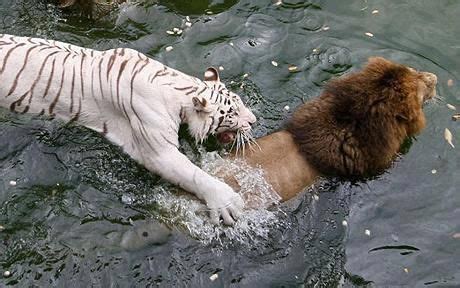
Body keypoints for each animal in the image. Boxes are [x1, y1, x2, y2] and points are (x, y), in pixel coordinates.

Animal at [0, 34, 256, 225]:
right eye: (233, 113)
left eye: (240, 102)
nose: (253, 120)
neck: (179, 88)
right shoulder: (158, 151)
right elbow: (194, 174)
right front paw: (227, 203)